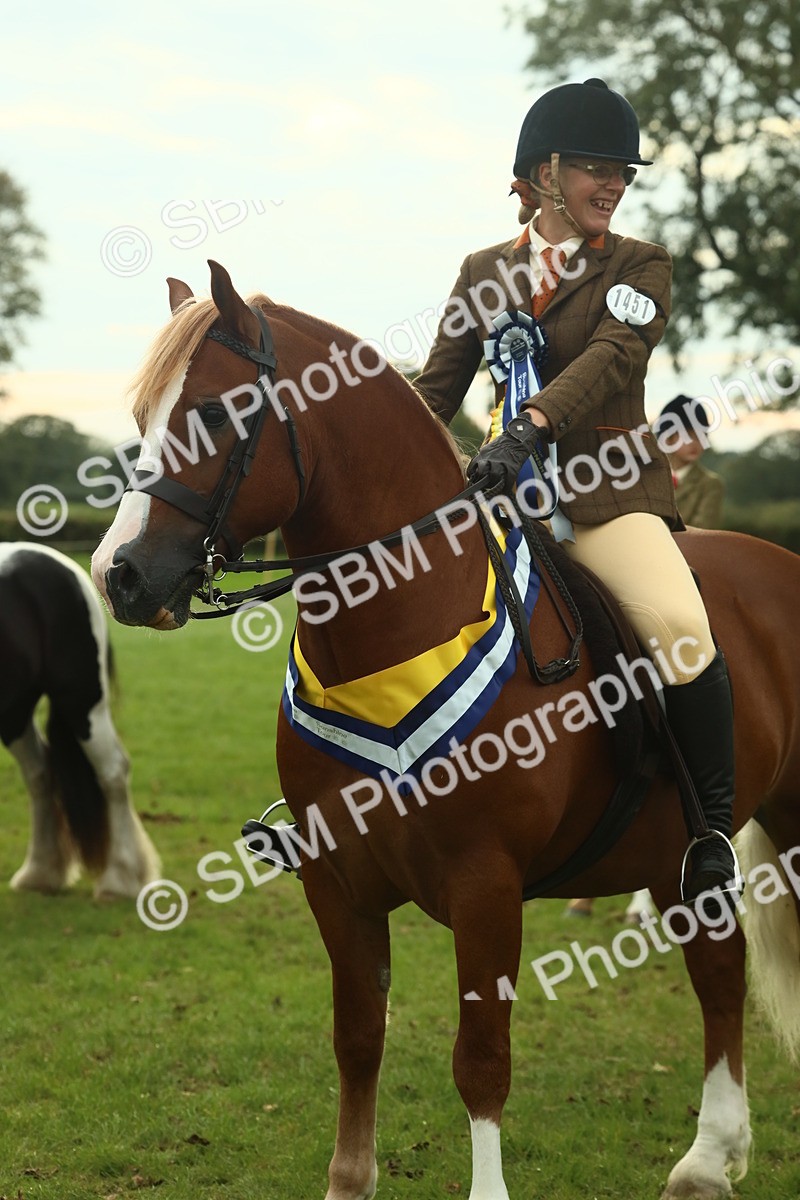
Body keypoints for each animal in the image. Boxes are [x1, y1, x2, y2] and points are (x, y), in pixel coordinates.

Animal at [0, 543, 160, 898]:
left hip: (81, 701)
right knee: (39, 774)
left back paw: (119, 879)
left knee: (112, 771)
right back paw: (40, 872)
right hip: (14, 712)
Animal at [91, 261, 800, 1200]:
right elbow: (359, 1038)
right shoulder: (338, 884)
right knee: (719, 971)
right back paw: (708, 1162)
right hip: (676, 854)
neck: (395, 632)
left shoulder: (484, 884)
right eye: (142, 416)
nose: (118, 575)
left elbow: (481, 1059)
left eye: (211, 412)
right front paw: (348, 1180)